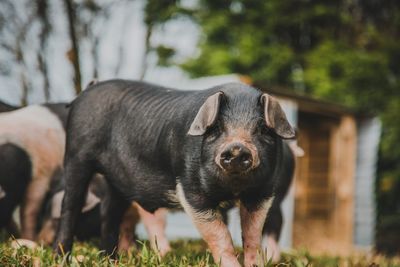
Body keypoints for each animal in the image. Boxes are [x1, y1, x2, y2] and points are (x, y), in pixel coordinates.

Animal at [55, 80, 294, 267]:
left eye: (262, 129)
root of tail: (85, 92)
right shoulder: (191, 190)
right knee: (70, 207)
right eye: (217, 127)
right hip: (76, 155)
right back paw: (62, 258)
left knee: (109, 214)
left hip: (117, 181)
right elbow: (221, 235)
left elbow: (253, 236)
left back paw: (110, 260)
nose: (236, 148)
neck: (233, 190)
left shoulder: (263, 193)